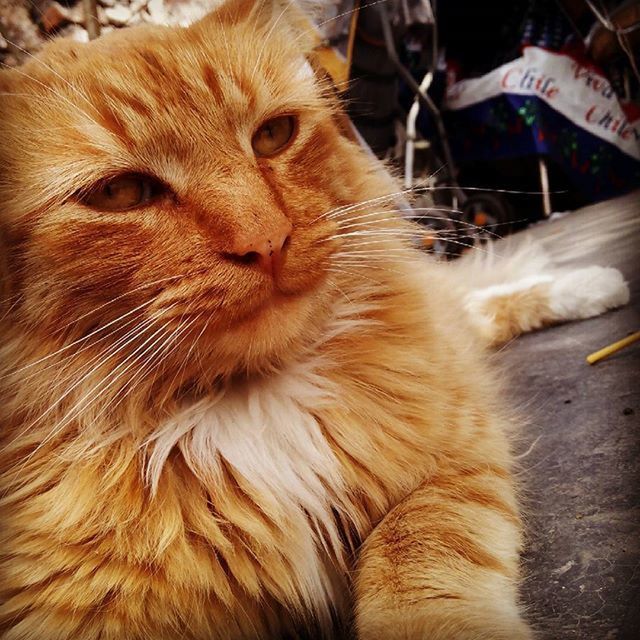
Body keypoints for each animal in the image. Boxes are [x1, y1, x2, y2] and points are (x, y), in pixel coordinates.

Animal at [0, 2, 632, 636]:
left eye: (272, 136)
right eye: (122, 192)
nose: (265, 241)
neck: (254, 400)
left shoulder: (455, 451)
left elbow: (416, 558)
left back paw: (597, 284)